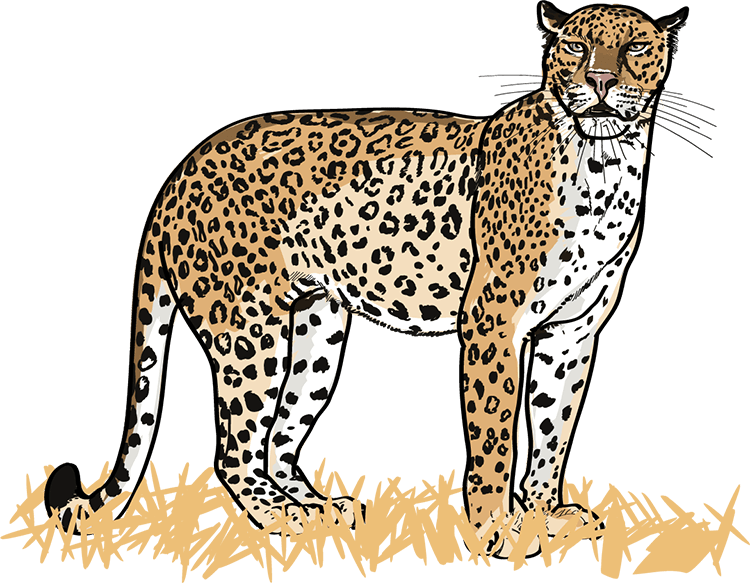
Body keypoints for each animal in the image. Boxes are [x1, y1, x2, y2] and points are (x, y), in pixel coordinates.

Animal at [44, 1, 689, 559]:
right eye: (575, 46)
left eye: (635, 48)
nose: (600, 81)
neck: (606, 167)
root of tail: (179, 169)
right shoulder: (493, 322)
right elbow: (494, 435)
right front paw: (496, 530)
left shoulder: (573, 333)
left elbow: (553, 427)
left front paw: (547, 515)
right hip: (248, 332)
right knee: (236, 451)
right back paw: (283, 519)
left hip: (317, 332)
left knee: (280, 439)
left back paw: (320, 511)